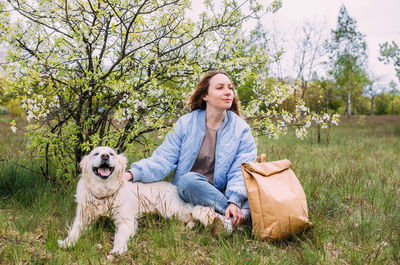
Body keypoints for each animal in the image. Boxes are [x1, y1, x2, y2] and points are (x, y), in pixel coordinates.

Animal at [58, 146, 231, 254]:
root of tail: (173, 187)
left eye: (111, 153)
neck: (104, 193)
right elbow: (74, 232)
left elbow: (120, 236)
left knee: (195, 210)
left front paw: (118, 249)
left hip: (171, 209)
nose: (105, 156)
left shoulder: (126, 221)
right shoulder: (82, 219)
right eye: (96, 153)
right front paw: (67, 243)